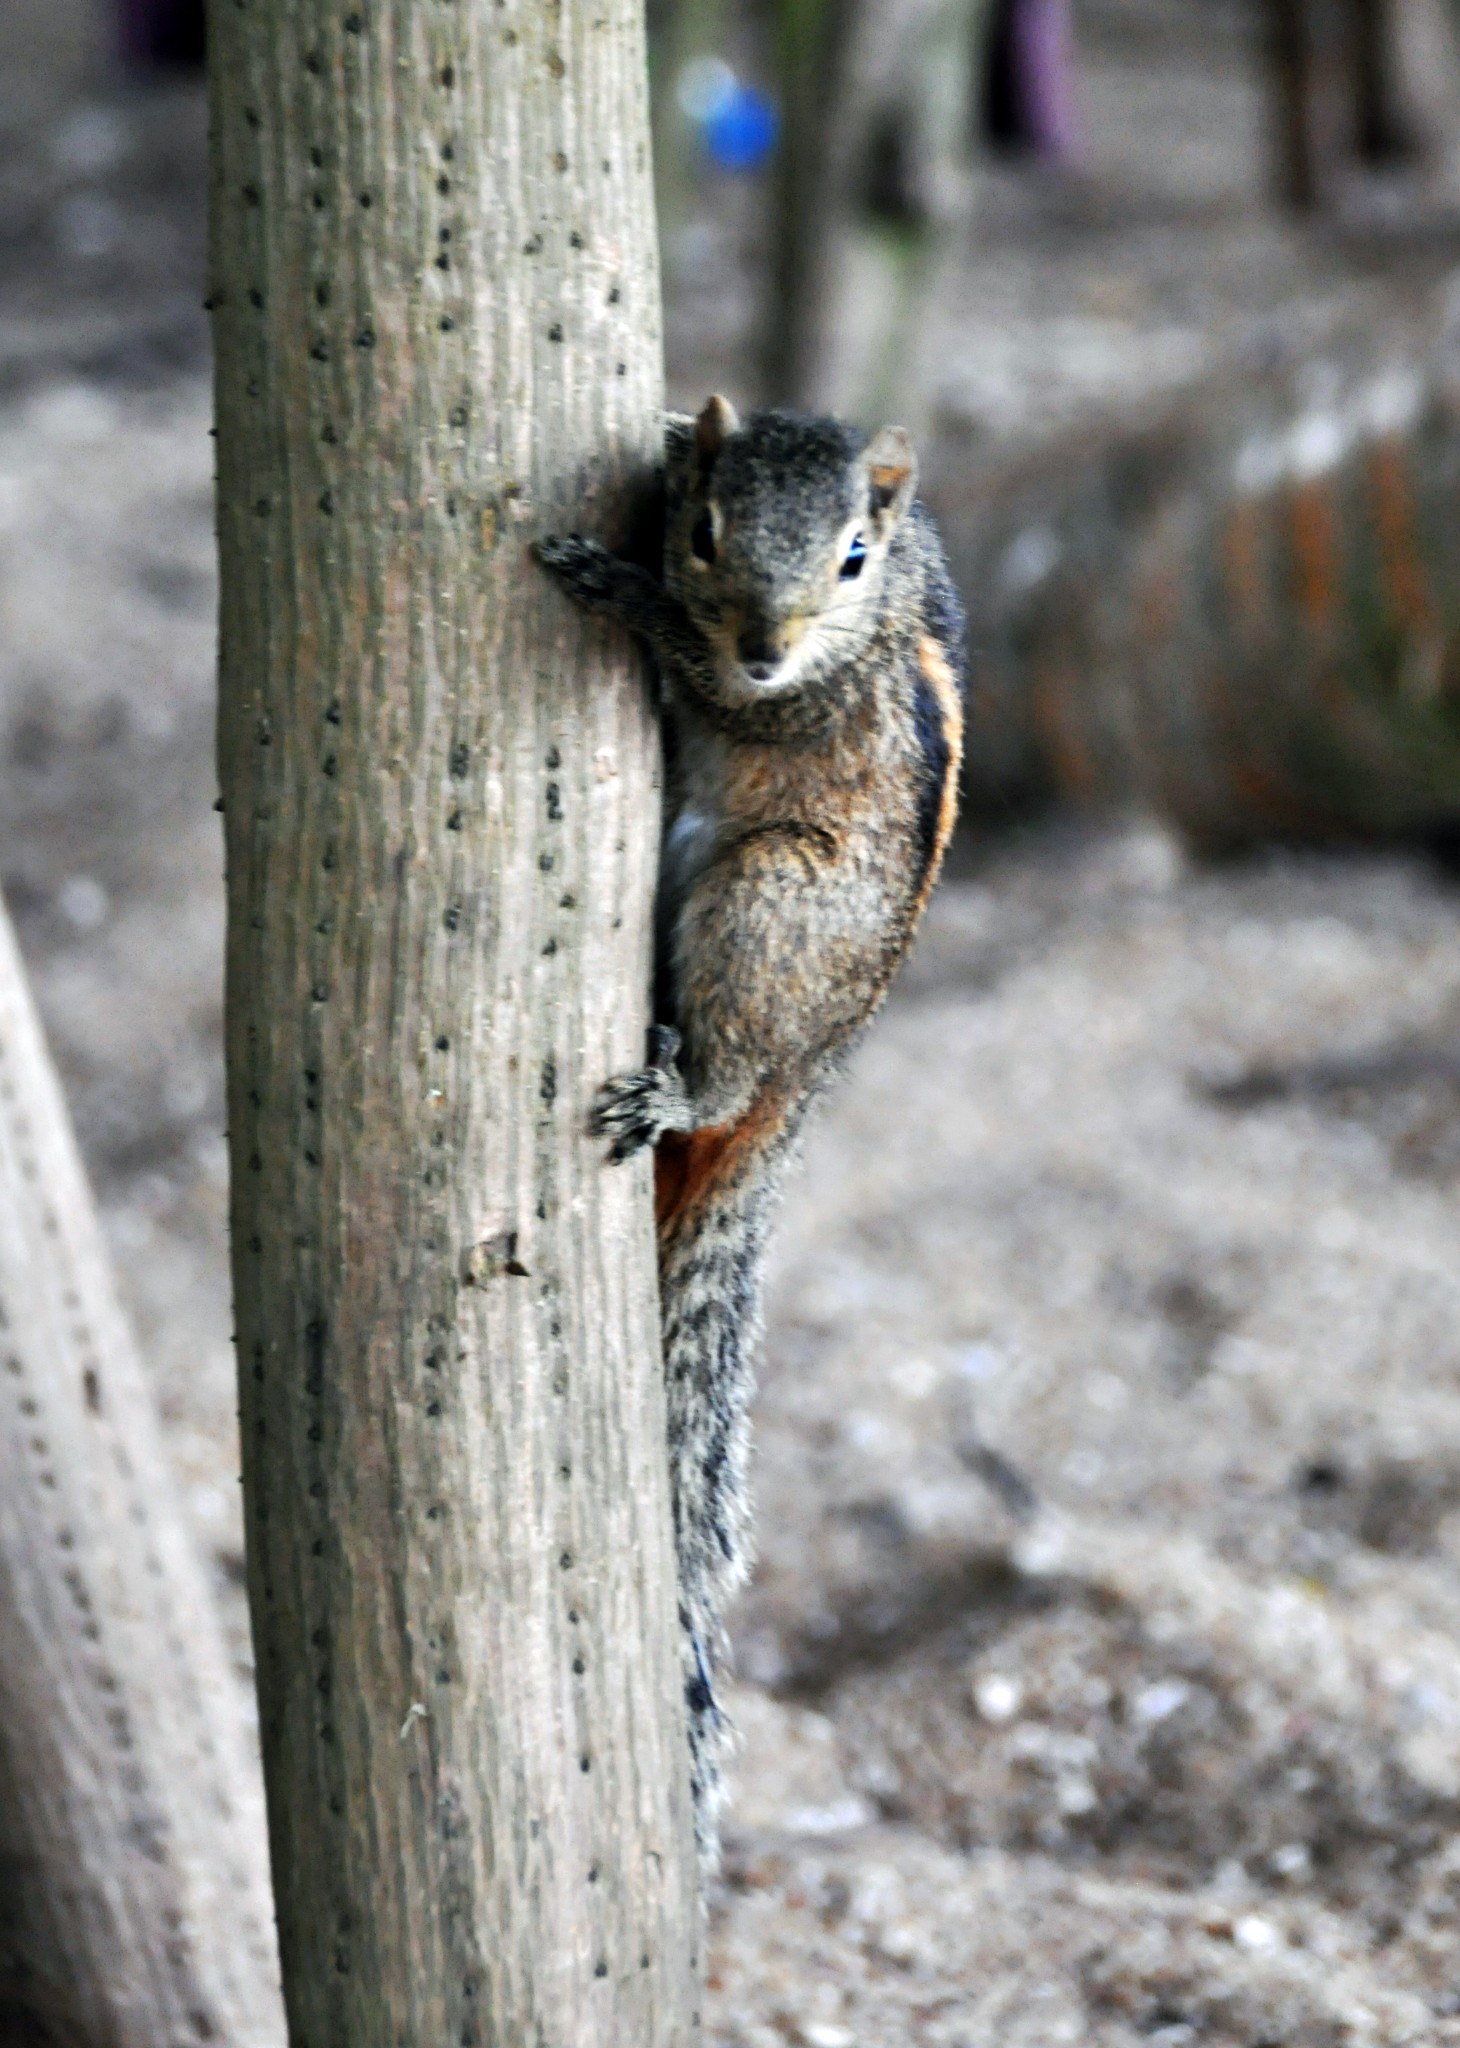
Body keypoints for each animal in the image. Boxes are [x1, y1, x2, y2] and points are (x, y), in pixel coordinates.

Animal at [528, 399, 962, 1875]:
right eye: (710, 524)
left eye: (848, 555)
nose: (765, 643)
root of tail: (806, 1081)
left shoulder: (808, 693)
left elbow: (712, 690)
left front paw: (617, 590)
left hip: (763, 906)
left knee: (723, 1067)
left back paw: (682, 1096)